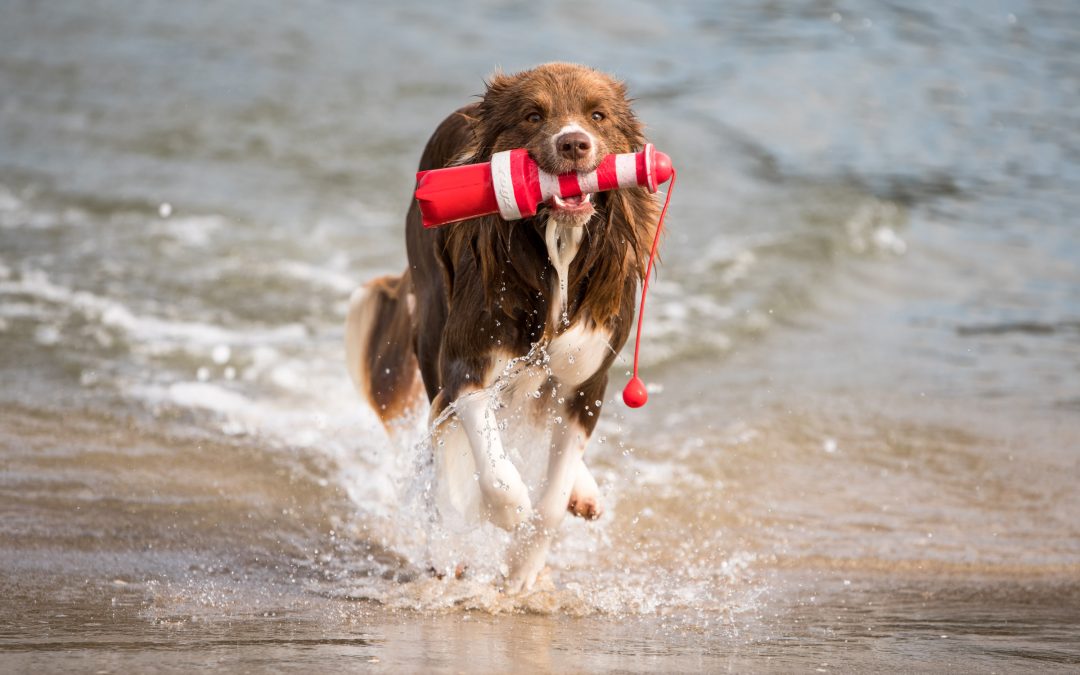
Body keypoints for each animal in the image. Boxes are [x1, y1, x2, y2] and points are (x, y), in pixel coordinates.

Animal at [349, 61, 660, 587]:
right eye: (534, 116)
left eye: (597, 115)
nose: (574, 144)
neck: (558, 251)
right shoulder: (465, 362)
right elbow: (493, 470)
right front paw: (510, 515)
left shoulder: (589, 379)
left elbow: (552, 499)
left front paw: (522, 565)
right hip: (431, 319)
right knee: (440, 438)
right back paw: (444, 549)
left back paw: (583, 491)